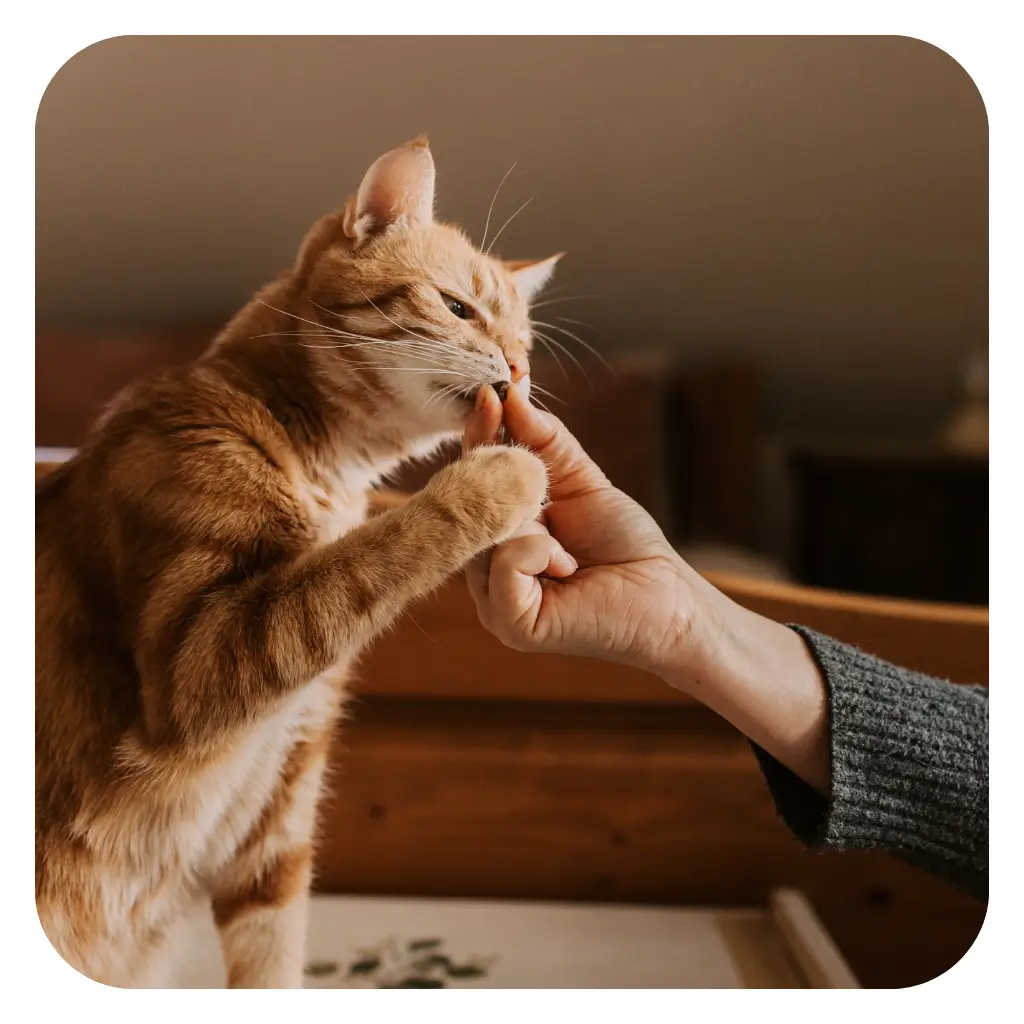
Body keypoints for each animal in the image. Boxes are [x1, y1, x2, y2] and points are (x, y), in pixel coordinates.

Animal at [34, 136, 561, 983]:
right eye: (458, 308)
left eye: (527, 343)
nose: (519, 374)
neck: (327, 470)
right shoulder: (199, 666)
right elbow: (371, 552)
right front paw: (503, 476)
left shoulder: (281, 804)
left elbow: (273, 951)